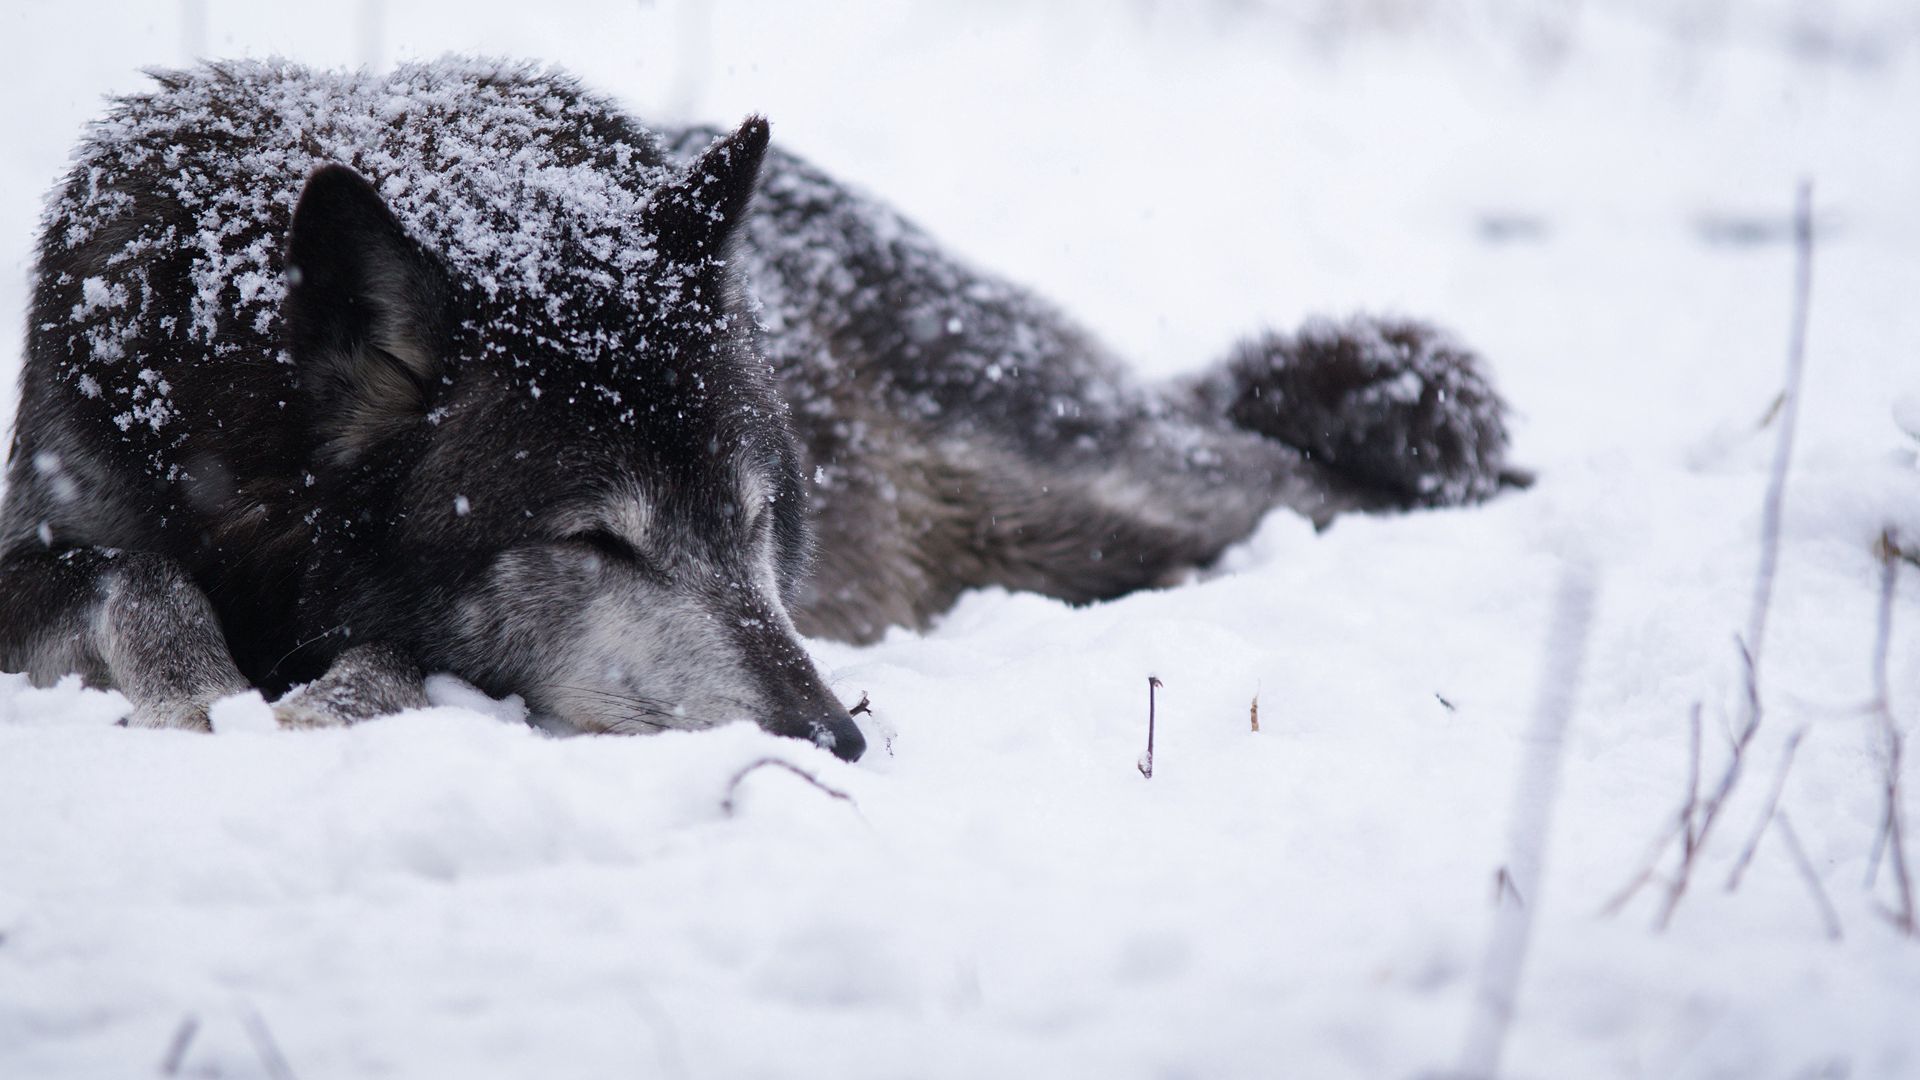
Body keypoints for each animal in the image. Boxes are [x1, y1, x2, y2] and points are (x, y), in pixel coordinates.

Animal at [0, 61, 1520, 764]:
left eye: (751, 521)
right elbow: (129, 569)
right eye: (596, 541)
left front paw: (316, 700)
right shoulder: (59, 520)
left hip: (1101, 493)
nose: (838, 740)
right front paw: (206, 689)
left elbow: (379, 655)